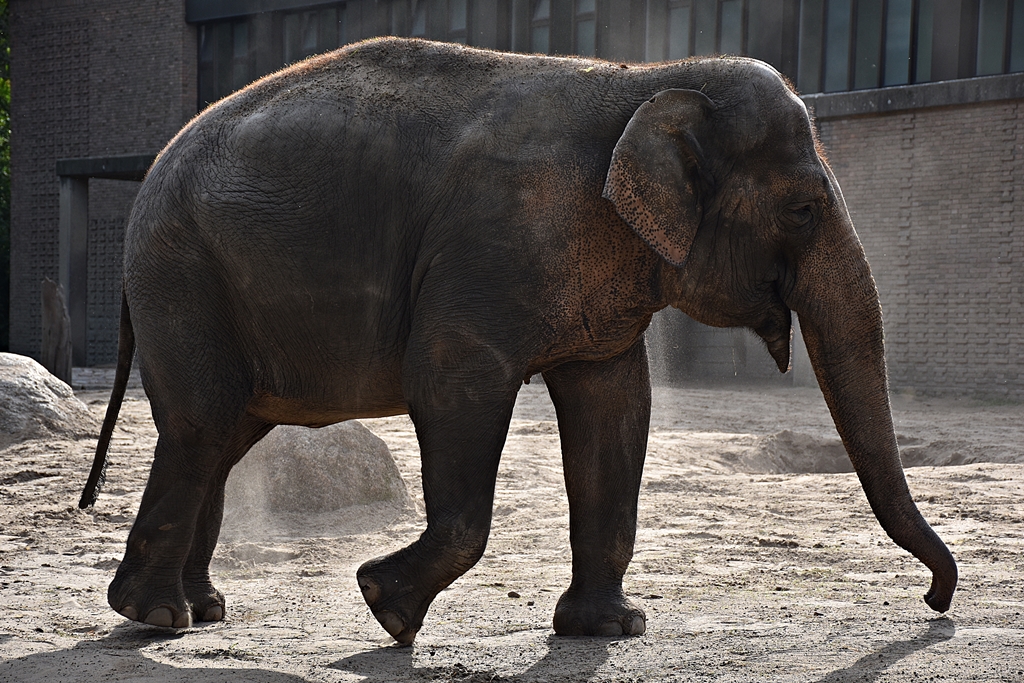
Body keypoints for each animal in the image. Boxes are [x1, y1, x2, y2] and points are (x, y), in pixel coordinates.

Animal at [79, 37, 956, 645]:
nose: (935, 600)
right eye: (805, 209)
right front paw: (385, 607)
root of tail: (152, 171)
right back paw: (155, 617)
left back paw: (202, 609)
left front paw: (611, 629)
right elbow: (453, 382)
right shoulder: (491, 250)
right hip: (182, 271)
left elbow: (615, 403)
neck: (643, 80)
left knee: (224, 431)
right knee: (202, 422)